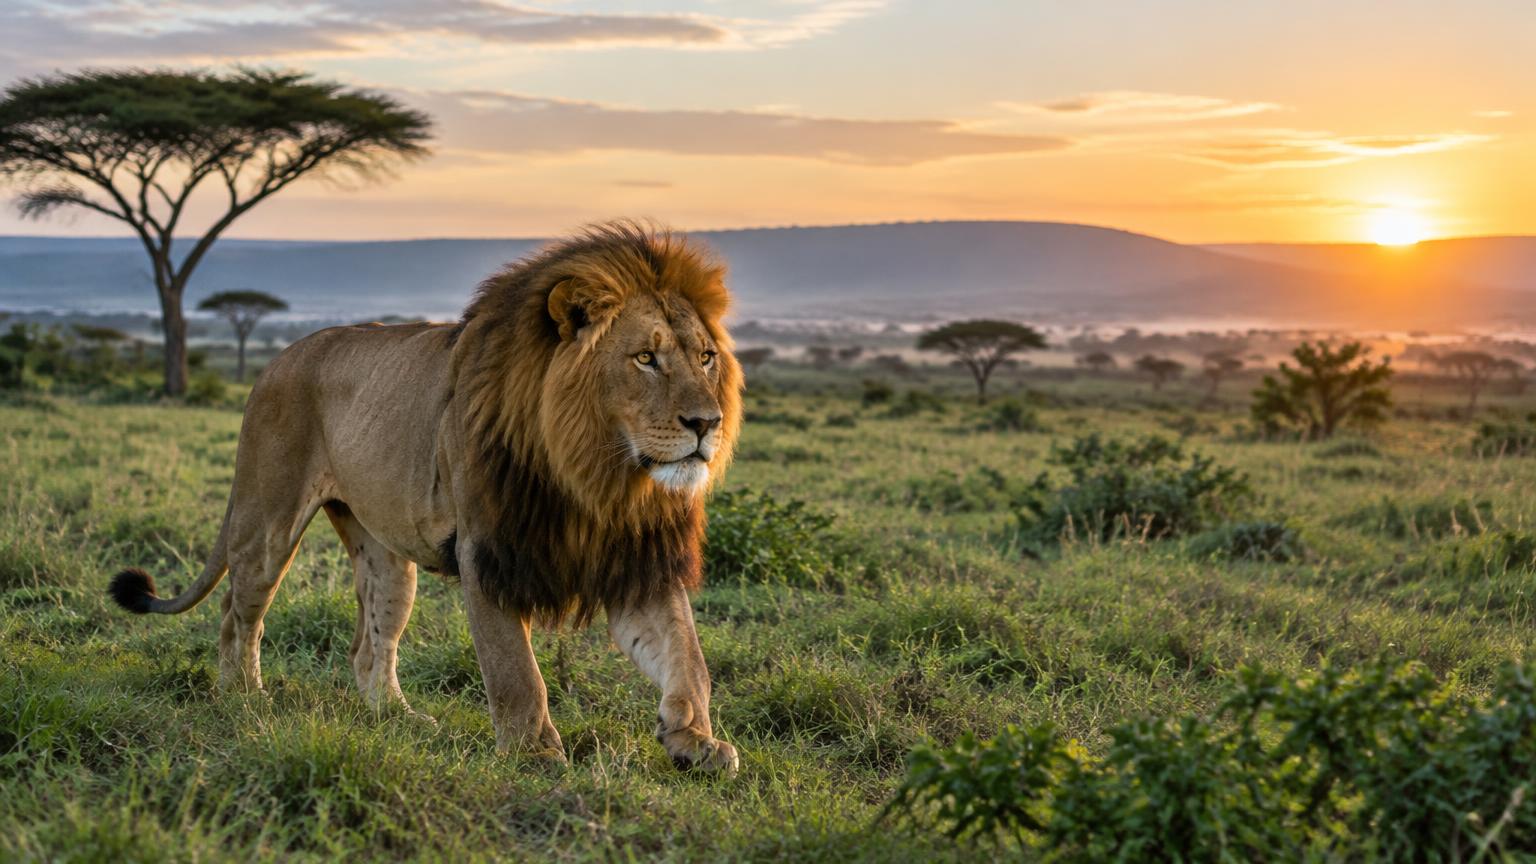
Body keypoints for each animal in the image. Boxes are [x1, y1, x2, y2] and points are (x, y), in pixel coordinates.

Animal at [107, 220, 744, 773]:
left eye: (705, 357)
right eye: (645, 358)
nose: (706, 423)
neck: (598, 477)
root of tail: (277, 359)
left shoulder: (637, 557)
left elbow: (688, 656)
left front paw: (695, 740)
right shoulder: (487, 552)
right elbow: (516, 672)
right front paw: (535, 755)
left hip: (387, 560)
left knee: (369, 647)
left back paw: (398, 717)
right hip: (268, 520)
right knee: (237, 612)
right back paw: (243, 697)